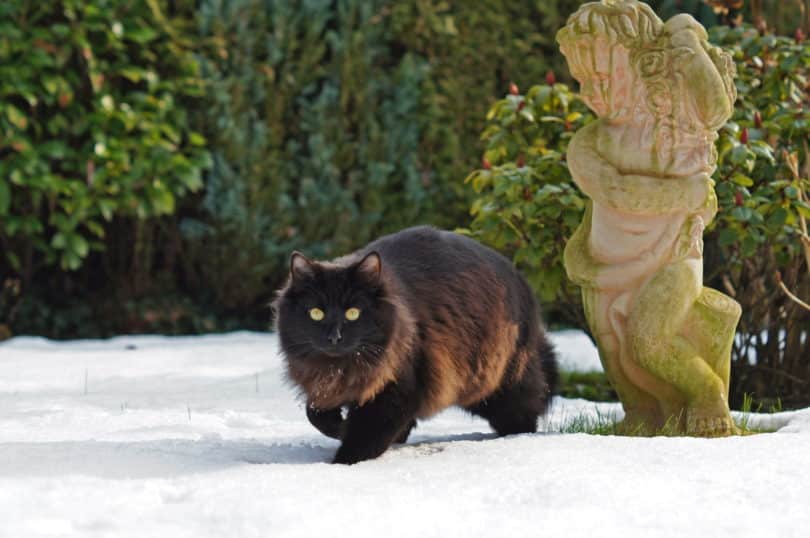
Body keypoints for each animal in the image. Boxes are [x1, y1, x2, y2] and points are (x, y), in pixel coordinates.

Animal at [272, 224, 556, 462]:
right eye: (316, 313)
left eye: (353, 313)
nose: (334, 337)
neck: (340, 368)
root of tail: (521, 281)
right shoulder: (326, 386)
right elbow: (315, 413)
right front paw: (338, 427)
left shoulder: (399, 386)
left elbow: (365, 435)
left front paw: (343, 461)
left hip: (497, 381)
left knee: (527, 409)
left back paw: (518, 437)